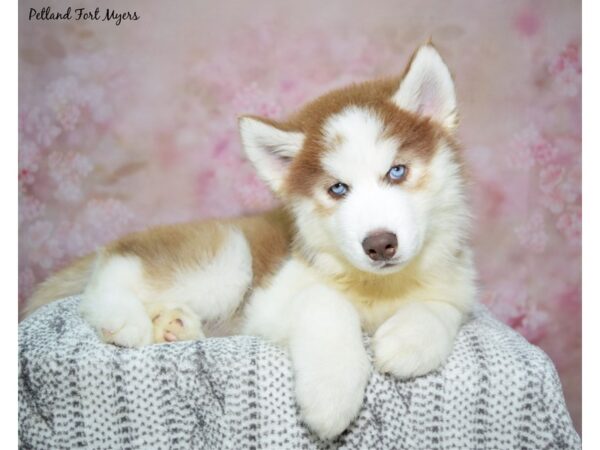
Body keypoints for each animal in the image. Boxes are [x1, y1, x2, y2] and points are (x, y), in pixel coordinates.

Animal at [25, 44, 478, 438]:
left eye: (397, 171)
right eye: (337, 189)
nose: (380, 244)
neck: (379, 289)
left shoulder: (458, 283)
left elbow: (442, 308)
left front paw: (410, 339)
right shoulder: (270, 302)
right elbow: (327, 302)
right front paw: (331, 393)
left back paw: (175, 326)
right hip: (228, 260)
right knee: (111, 272)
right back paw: (126, 318)